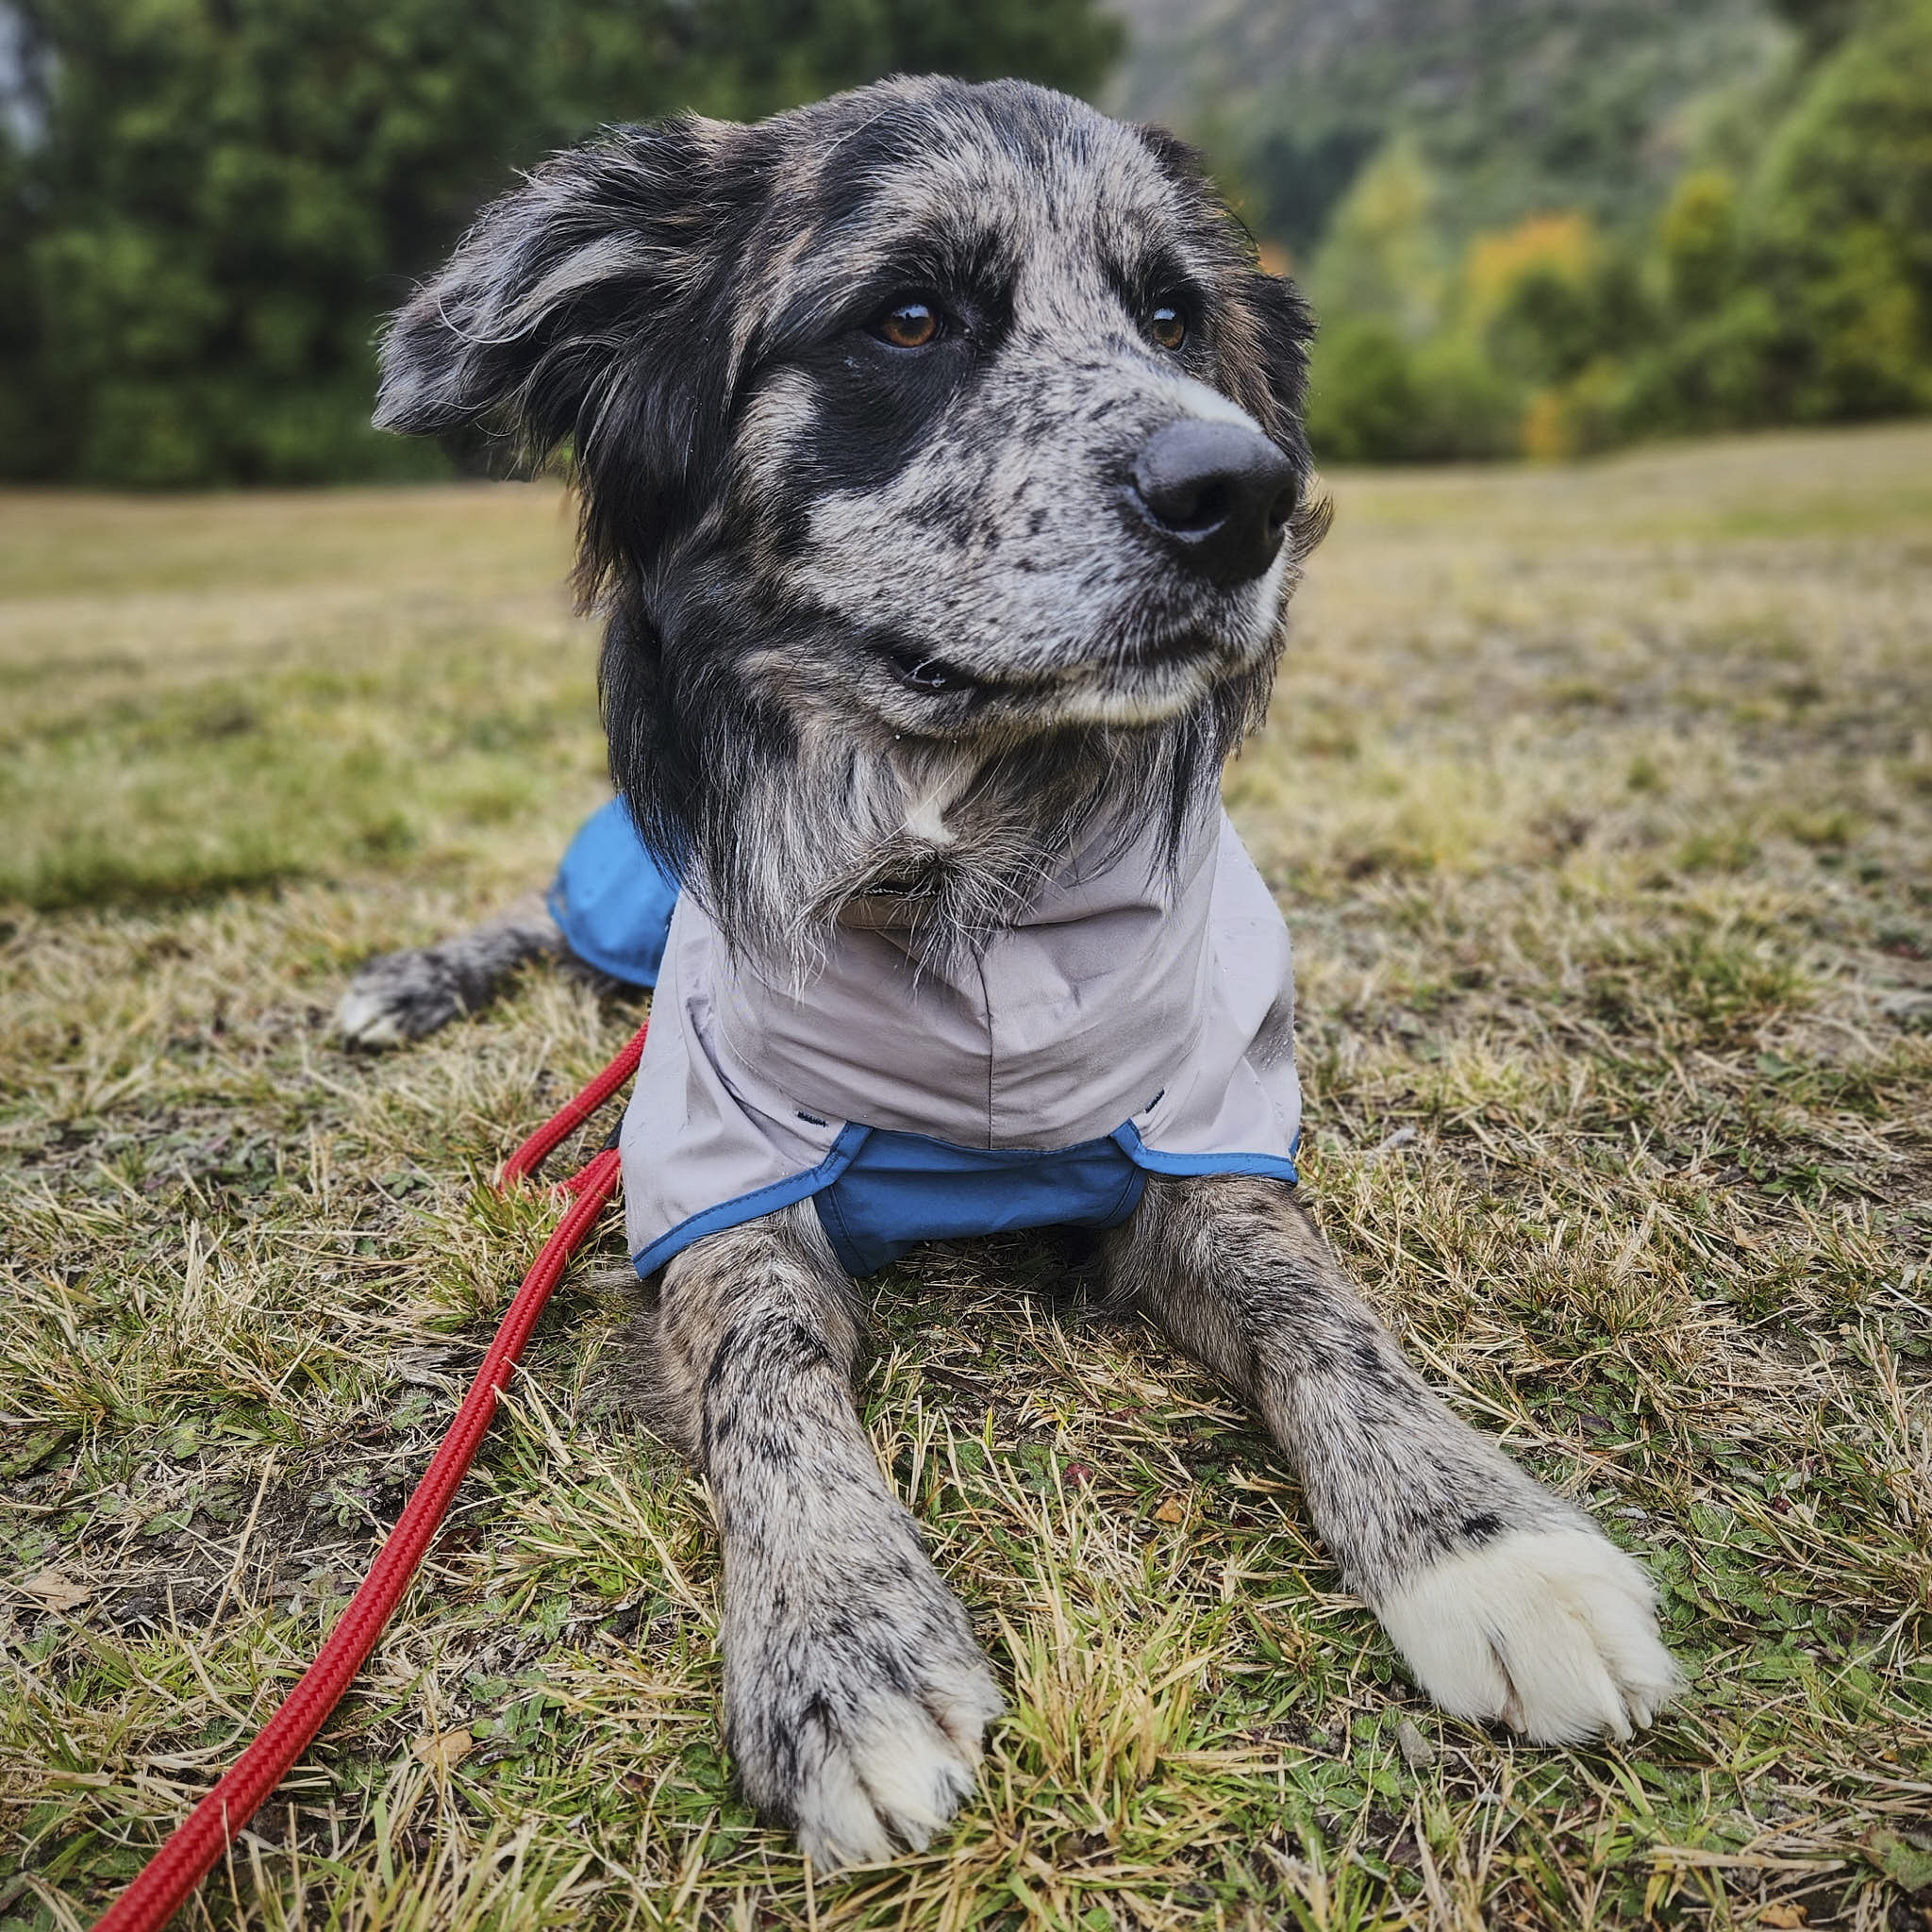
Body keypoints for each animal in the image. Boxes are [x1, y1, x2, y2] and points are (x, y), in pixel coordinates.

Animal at [340, 78, 1684, 1870]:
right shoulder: (715, 1165)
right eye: (908, 319)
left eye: (1173, 316)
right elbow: (767, 1376)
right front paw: (841, 1646)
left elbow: (1321, 1307)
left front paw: (1484, 1536)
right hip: (626, 892)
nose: (1242, 492)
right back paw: (411, 978)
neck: (965, 850)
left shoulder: (1201, 1131)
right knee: (552, 916)